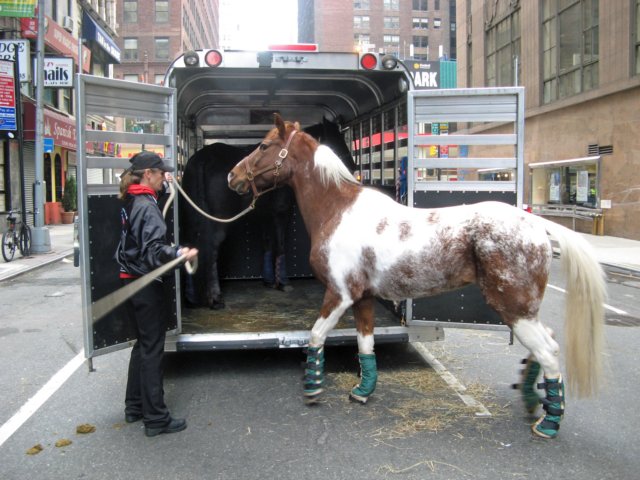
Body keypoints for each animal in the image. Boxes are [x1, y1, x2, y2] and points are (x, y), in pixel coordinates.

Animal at [179, 118, 356, 310]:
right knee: (211, 248)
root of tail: (202, 160)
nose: (352, 167)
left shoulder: (265, 216)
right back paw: (215, 297)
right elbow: (279, 244)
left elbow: (268, 243)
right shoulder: (280, 214)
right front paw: (283, 282)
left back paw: (191, 297)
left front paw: (269, 280)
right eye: (334, 139)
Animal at [229, 113, 604, 438]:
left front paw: (312, 389)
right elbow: (365, 344)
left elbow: (316, 335)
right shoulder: (363, 299)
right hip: (524, 310)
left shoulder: (339, 294)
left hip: (514, 308)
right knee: (547, 343)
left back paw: (549, 424)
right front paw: (363, 391)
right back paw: (531, 399)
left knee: (549, 350)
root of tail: (535, 223)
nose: (233, 177)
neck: (338, 210)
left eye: (264, 145)